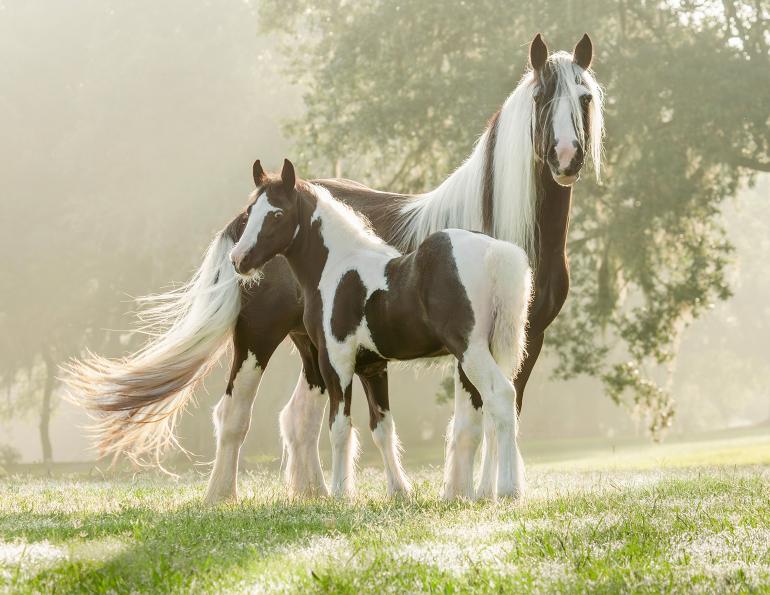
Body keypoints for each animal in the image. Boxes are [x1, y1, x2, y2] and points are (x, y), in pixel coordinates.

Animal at [230, 158, 532, 498]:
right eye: (249, 211)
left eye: (277, 214)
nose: (238, 260)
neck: (336, 267)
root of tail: (494, 251)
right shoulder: (372, 367)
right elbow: (382, 428)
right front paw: (399, 491)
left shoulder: (336, 362)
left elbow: (339, 427)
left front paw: (340, 493)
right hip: (494, 349)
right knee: (497, 410)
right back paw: (487, 492)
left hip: (471, 350)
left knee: (501, 396)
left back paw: (508, 490)